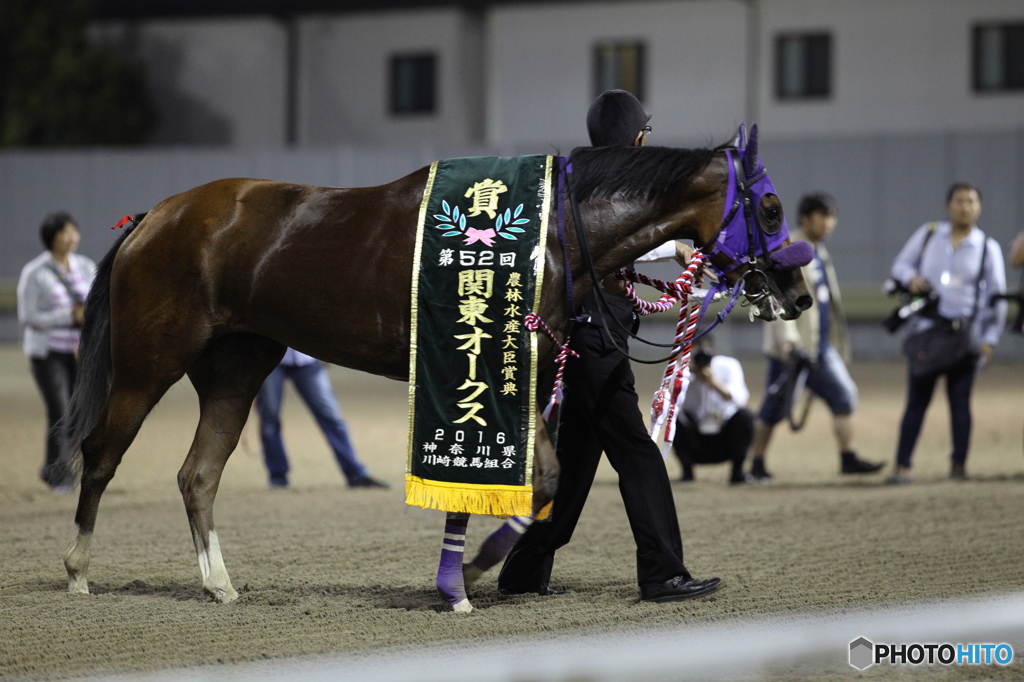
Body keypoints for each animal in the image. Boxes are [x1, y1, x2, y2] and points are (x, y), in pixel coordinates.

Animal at [56, 122, 811, 610]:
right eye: (772, 207)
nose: (799, 293)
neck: (550, 235)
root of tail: (157, 215)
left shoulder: (505, 376)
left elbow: (522, 479)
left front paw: (457, 581)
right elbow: (541, 480)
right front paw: (472, 573)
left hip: (236, 367)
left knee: (198, 474)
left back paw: (218, 584)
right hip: (150, 361)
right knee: (101, 453)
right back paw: (78, 571)